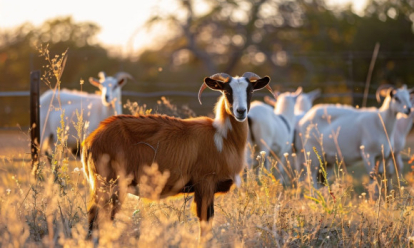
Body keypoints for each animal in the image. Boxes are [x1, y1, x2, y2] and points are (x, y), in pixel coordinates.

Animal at [82, 71, 274, 238]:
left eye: (250, 91)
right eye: (227, 91)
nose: (241, 112)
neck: (222, 137)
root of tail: (91, 140)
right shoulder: (205, 183)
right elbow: (205, 222)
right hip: (109, 184)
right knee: (95, 219)